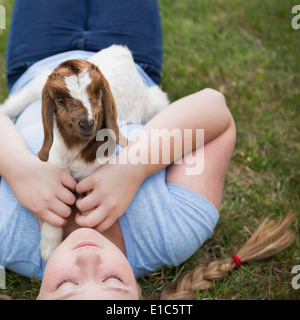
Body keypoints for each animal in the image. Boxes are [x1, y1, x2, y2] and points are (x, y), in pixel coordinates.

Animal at [0, 44, 169, 260]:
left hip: (152, 102)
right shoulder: (57, 166)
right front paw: (49, 249)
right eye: (58, 99)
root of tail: (121, 51)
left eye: (97, 93)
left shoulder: (92, 175)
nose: (87, 123)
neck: (75, 147)